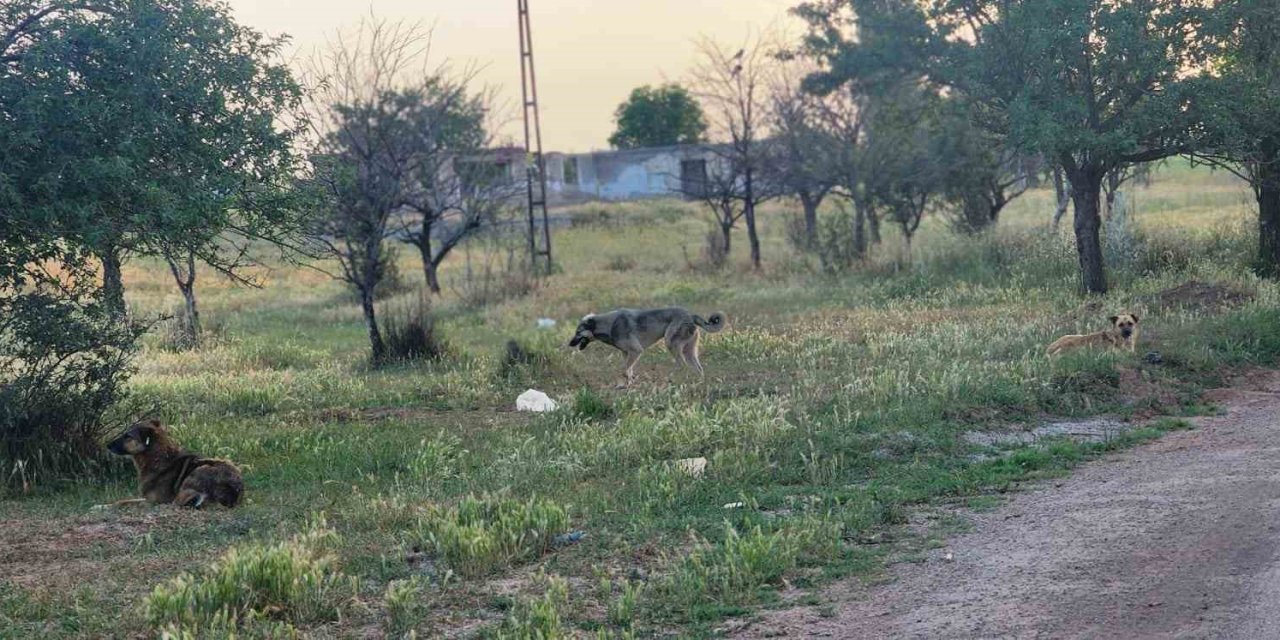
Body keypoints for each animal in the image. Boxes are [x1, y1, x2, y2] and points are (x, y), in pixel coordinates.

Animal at [568, 307, 727, 386]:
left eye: (577, 332)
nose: (569, 344)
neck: (609, 325)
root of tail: (691, 315)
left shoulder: (636, 351)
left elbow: (624, 370)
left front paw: (625, 384)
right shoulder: (627, 354)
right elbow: (628, 370)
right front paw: (630, 384)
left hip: (670, 343)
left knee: (681, 364)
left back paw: (672, 379)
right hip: (689, 351)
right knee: (699, 369)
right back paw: (699, 383)